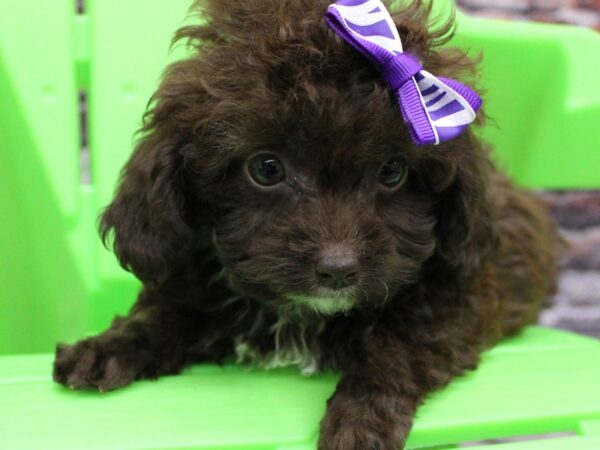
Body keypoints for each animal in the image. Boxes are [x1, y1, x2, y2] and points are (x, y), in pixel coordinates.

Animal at [52, 1, 564, 448]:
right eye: (266, 169)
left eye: (392, 172)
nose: (338, 270)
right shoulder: (195, 274)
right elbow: (162, 314)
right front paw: (103, 349)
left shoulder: (456, 298)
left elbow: (398, 347)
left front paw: (360, 421)